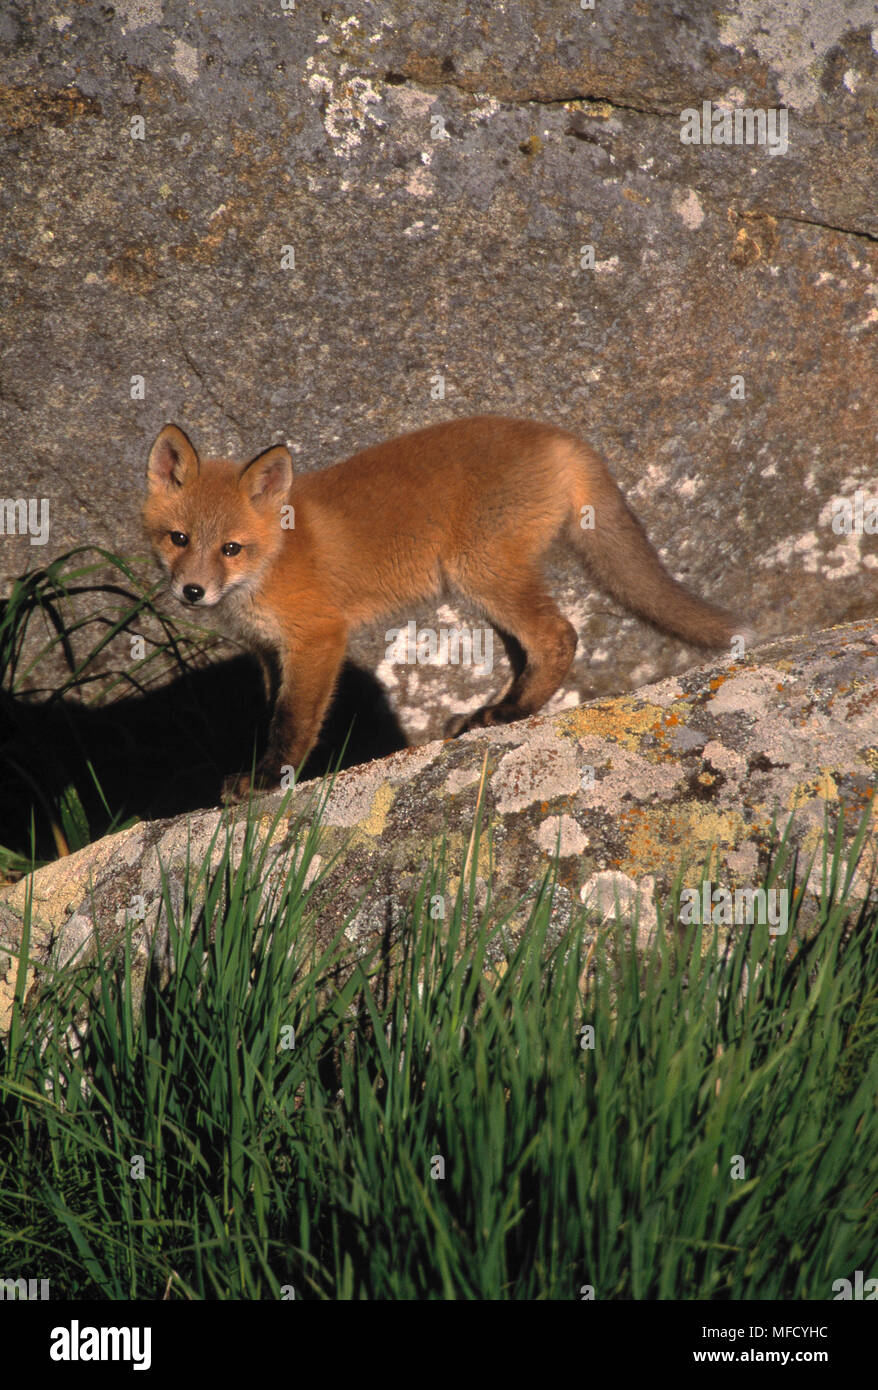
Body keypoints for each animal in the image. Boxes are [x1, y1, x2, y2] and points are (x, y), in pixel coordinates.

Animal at [143, 414, 755, 806]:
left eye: (230, 548)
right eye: (179, 539)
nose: (192, 592)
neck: (273, 558)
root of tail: (555, 434)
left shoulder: (317, 639)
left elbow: (291, 724)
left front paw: (269, 781)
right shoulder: (272, 653)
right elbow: (270, 717)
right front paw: (254, 773)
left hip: (479, 573)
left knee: (560, 636)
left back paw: (507, 714)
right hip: (485, 590)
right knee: (531, 652)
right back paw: (501, 711)